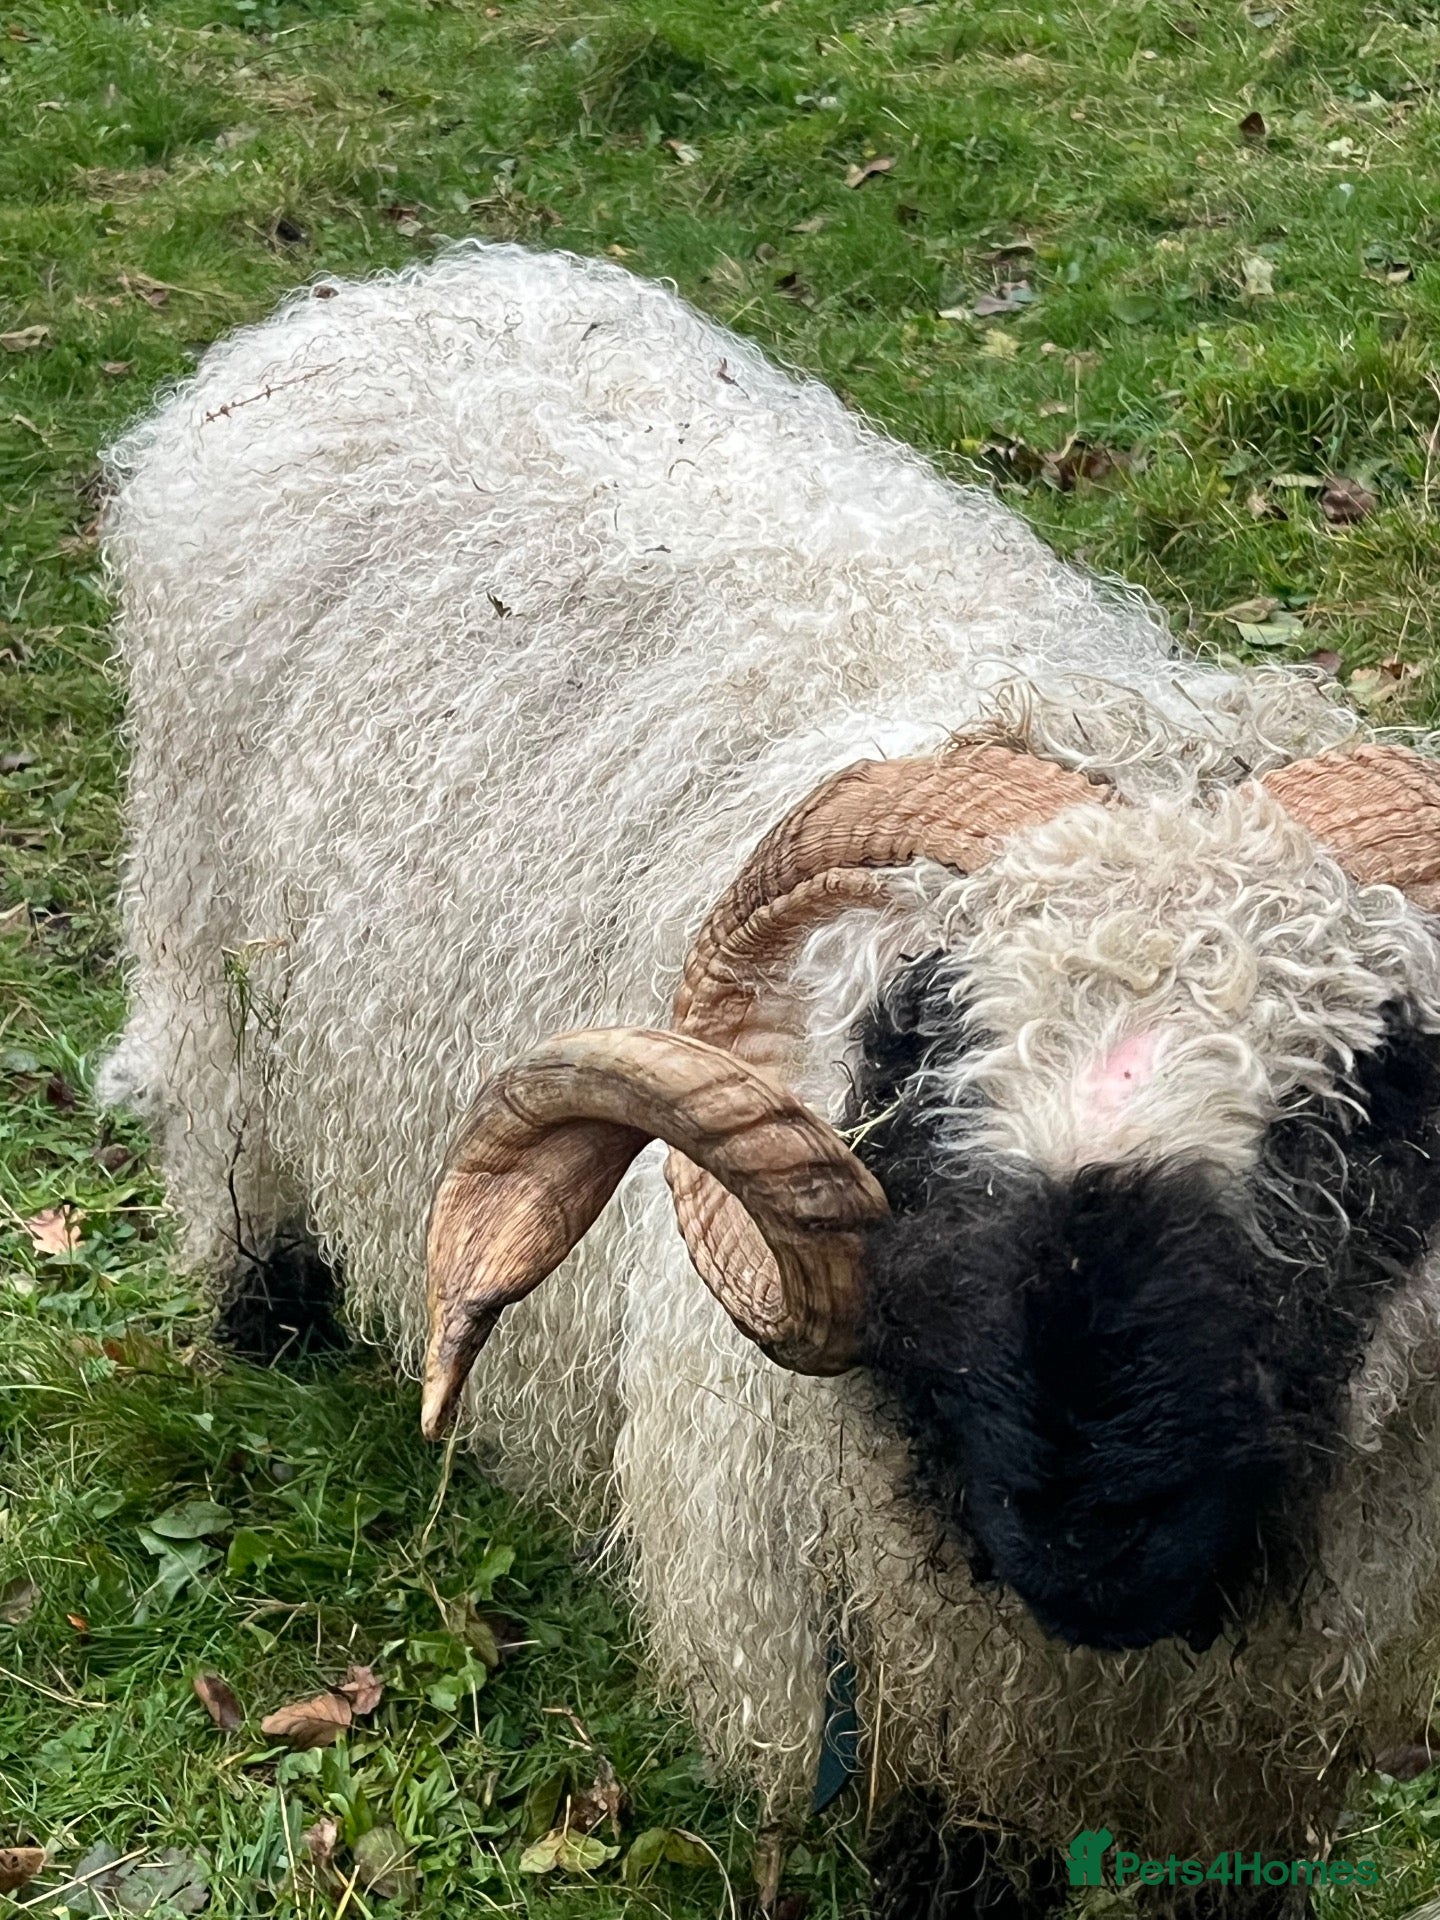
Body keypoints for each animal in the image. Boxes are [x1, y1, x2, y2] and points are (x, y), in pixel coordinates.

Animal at [98, 239, 1440, 1915]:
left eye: (1377, 1094)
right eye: (918, 1041)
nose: (1094, 1526)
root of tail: (383, 294)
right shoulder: (876, 1705)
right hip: (209, 960)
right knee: (226, 1154)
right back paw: (263, 1324)